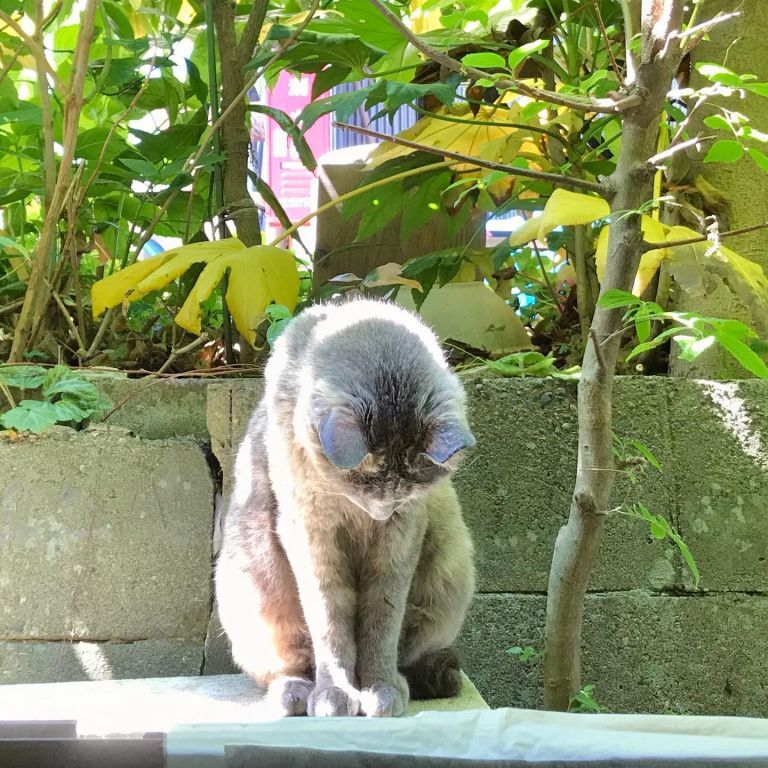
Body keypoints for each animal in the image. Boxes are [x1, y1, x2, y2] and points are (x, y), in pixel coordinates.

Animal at [212, 296, 474, 716]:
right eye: (365, 489)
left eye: (403, 495)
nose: (383, 512)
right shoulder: (310, 535)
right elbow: (329, 625)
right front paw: (335, 694)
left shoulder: (401, 540)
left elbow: (382, 624)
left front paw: (380, 688)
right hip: (254, 579)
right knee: (287, 663)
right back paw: (296, 693)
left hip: (450, 563)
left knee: (413, 654)